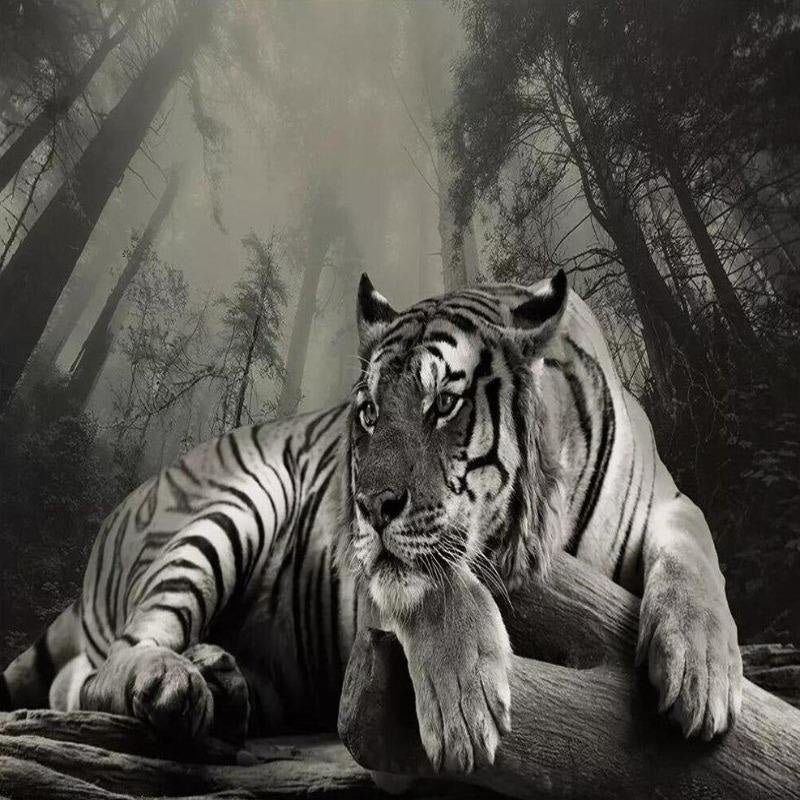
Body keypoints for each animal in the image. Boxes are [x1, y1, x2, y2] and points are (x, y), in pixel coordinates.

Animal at [0, 270, 742, 774]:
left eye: (444, 403)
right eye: (368, 412)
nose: (367, 504)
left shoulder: (669, 499)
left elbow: (698, 551)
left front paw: (703, 674)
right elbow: (432, 584)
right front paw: (465, 705)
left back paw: (220, 679)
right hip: (235, 503)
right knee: (97, 672)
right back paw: (172, 683)